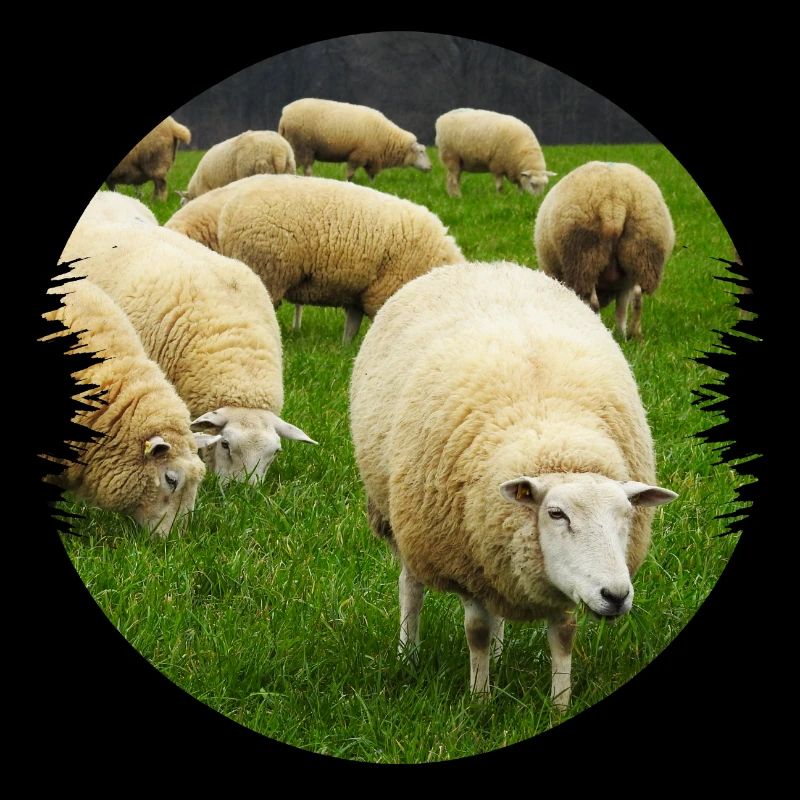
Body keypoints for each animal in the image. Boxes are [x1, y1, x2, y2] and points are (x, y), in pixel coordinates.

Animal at [278, 98, 431, 181]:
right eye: (421, 152)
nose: (430, 168)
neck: (388, 138)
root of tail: (284, 116)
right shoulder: (358, 155)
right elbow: (350, 174)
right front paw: (347, 183)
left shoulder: (372, 158)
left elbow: (372, 177)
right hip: (304, 147)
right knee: (307, 169)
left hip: (296, 147)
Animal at [349, 261, 677, 708]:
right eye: (556, 514)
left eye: (626, 516)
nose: (615, 596)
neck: (551, 437)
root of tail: (482, 265)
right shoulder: (465, 559)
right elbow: (476, 631)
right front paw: (480, 702)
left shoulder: (547, 576)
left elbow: (563, 635)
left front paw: (559, 704)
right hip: (405, 521)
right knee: (411, 587)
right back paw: (408, 656)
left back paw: (501, 655)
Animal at [534, 161, 675, 340]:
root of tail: (614, 200)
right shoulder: (623, 282)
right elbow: (621, 308)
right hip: (641, 252)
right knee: (636, 297)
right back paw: (632, 335)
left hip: (585, 254)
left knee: (594, 302)